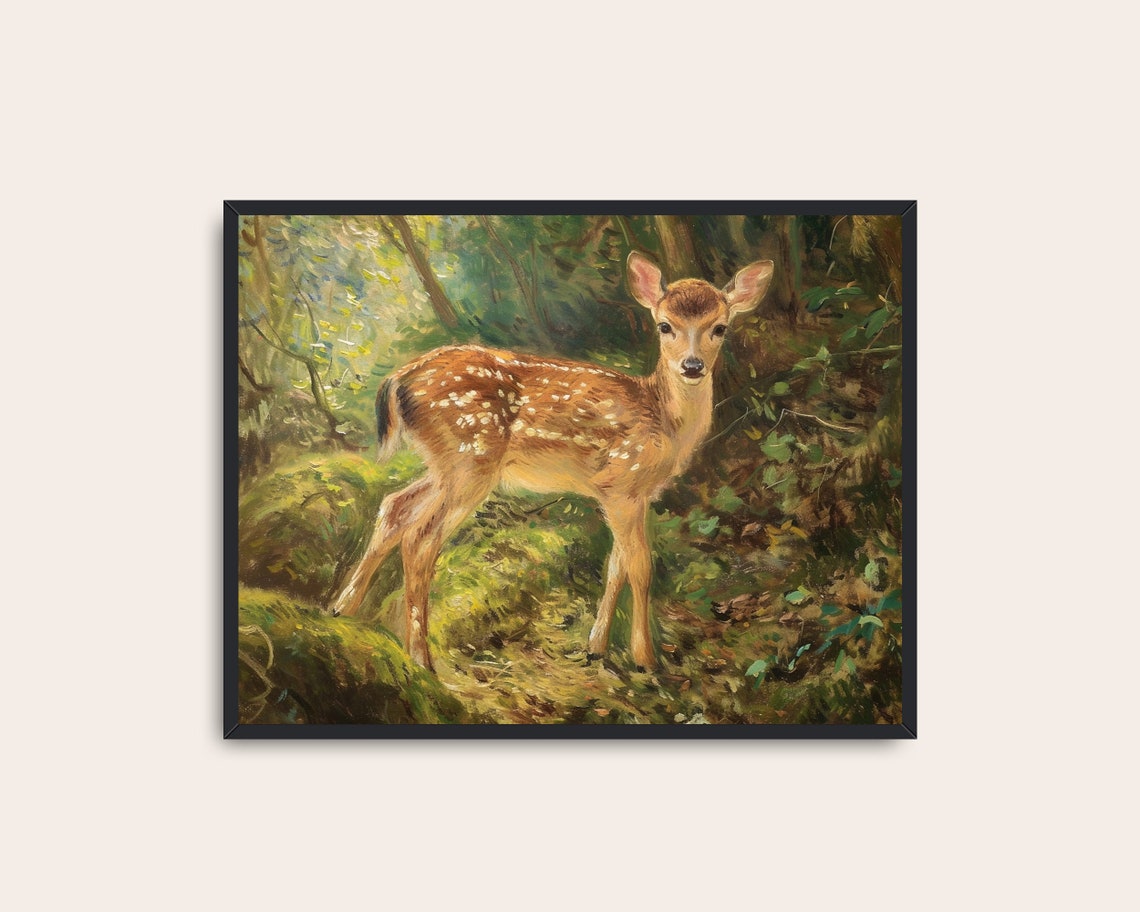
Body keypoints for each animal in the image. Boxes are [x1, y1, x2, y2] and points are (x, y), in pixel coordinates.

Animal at [329, 251, 774, 673]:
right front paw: (645, 658)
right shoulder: (621, 483)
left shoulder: (632, 494)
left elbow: (615, 565)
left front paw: (596, 648)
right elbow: (640, 566)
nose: (693, 366)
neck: (664, 420)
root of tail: (398, 379)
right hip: (470, 457)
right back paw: (421, 658)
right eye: (665, 326)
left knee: (394, 506)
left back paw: (341, 609)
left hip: (447, 464)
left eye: (720, 328)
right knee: (420, 539)